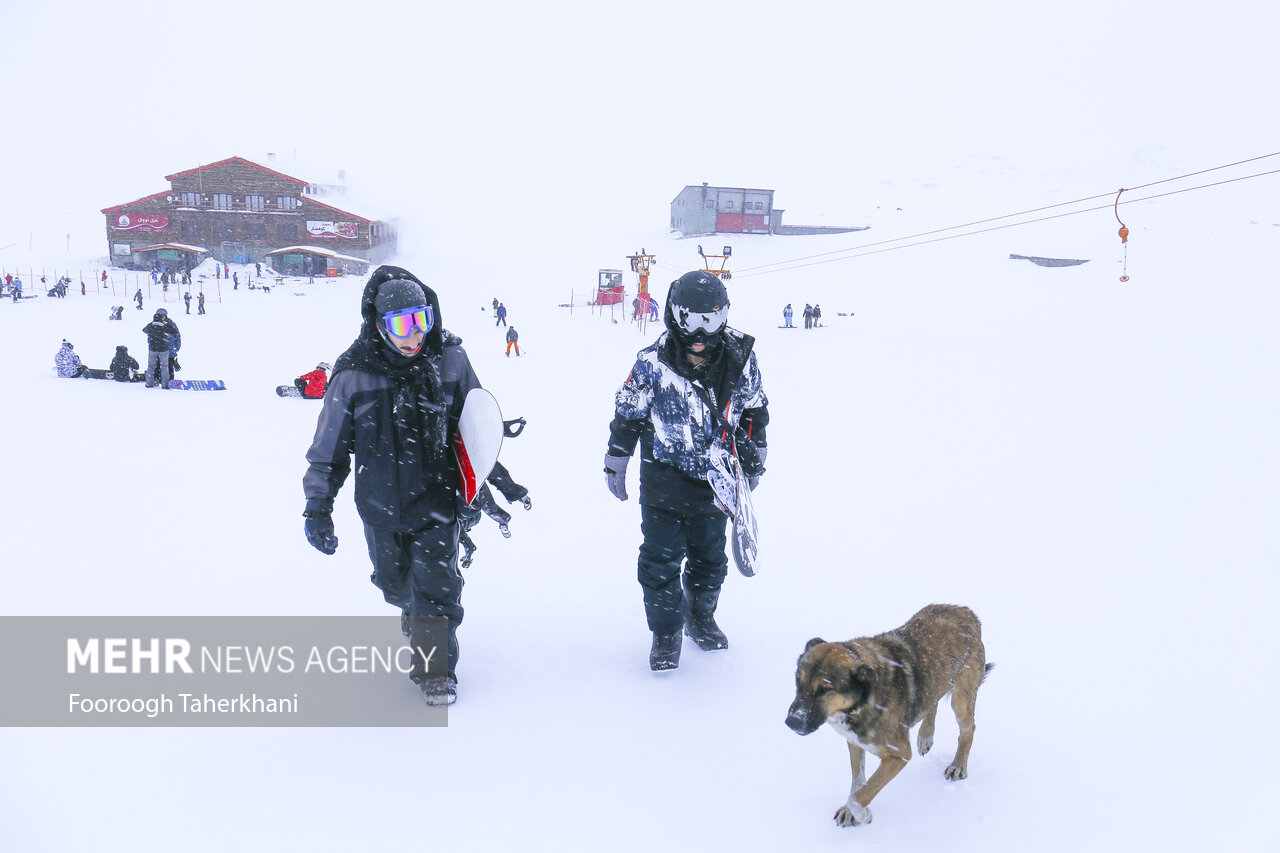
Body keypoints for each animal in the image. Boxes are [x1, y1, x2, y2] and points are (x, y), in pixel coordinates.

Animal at [783, 601, 993, 819]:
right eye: (798, 681)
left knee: (968, 730)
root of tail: (967, 612)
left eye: (825, 689)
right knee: (931, 701)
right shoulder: (854, 741)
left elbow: (863, 792)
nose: (791, 722)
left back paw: (958, 765)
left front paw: (859, 813)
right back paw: (925, 736)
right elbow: (858, 782)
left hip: (961, 698)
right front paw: (851, 812)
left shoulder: (899, 755)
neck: (862, 701)